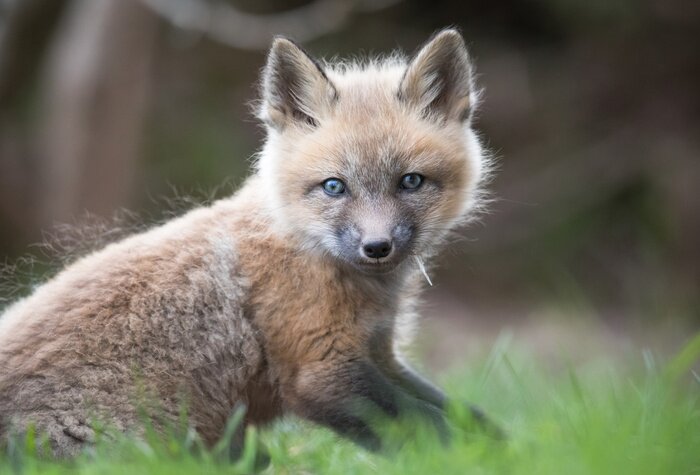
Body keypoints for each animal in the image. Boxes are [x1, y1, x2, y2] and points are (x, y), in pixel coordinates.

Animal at [0, 29, 494, 458]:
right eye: (334, 187)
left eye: (410, 182)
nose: (377, 246)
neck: (304, 246)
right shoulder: (320, 370)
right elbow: (430, 427)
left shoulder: (380, 352)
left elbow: (463, 413)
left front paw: (500, 442)